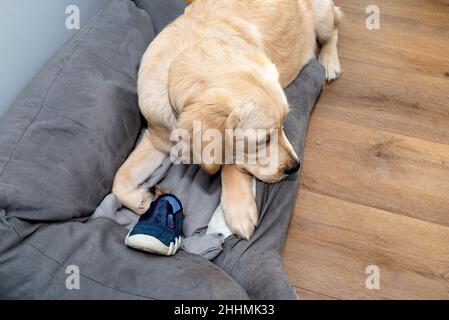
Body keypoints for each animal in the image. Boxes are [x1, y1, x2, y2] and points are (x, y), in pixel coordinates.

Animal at [112, 0, 340, 240]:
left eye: (283, 124)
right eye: (263, 140)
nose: (295, 167)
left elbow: (228, 159)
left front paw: (239, 210)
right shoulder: (158, 136)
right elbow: (118, 179)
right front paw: (141, 200)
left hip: (322, 16)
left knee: (334, 28)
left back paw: (329, 62)